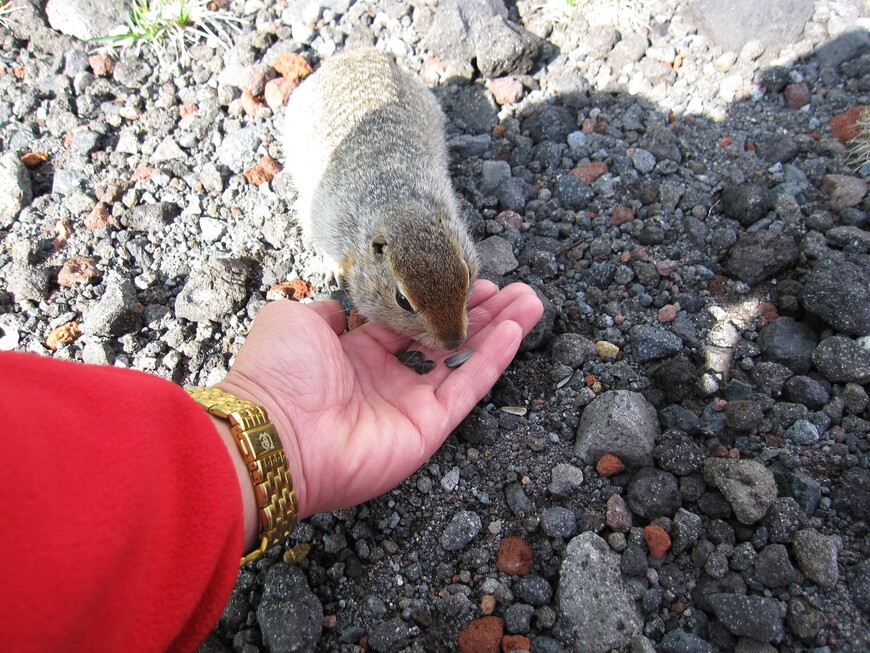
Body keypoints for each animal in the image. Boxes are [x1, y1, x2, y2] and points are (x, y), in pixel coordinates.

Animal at [282, 49, 480, 352]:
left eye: (467, 274)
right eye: (402, 301)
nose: (454, 343)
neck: (394, 205)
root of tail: (357, 53)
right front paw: (332, 270)